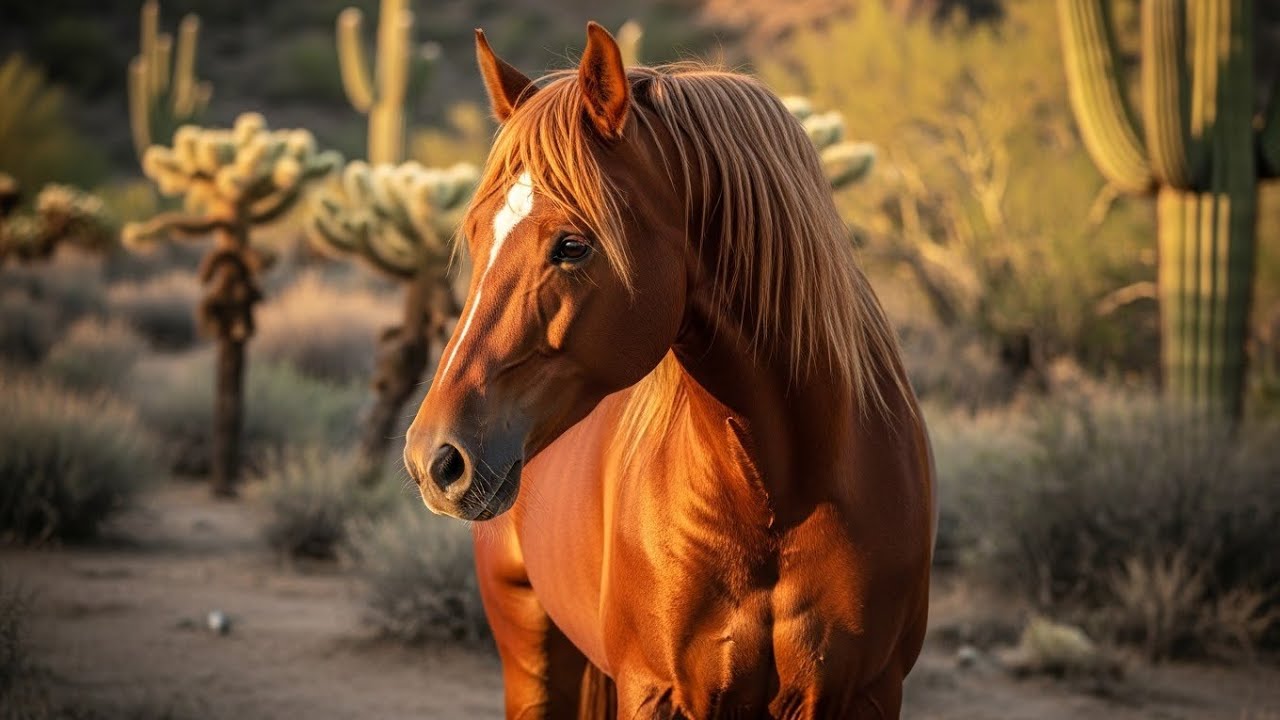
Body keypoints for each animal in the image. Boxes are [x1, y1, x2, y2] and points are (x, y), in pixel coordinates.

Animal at [404, 22, 936, 719]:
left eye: (573, 245)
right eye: (473, 235)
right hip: (530, 653)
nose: (434, 459)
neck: (779, 494)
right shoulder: (658, 691)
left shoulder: (866, 692)